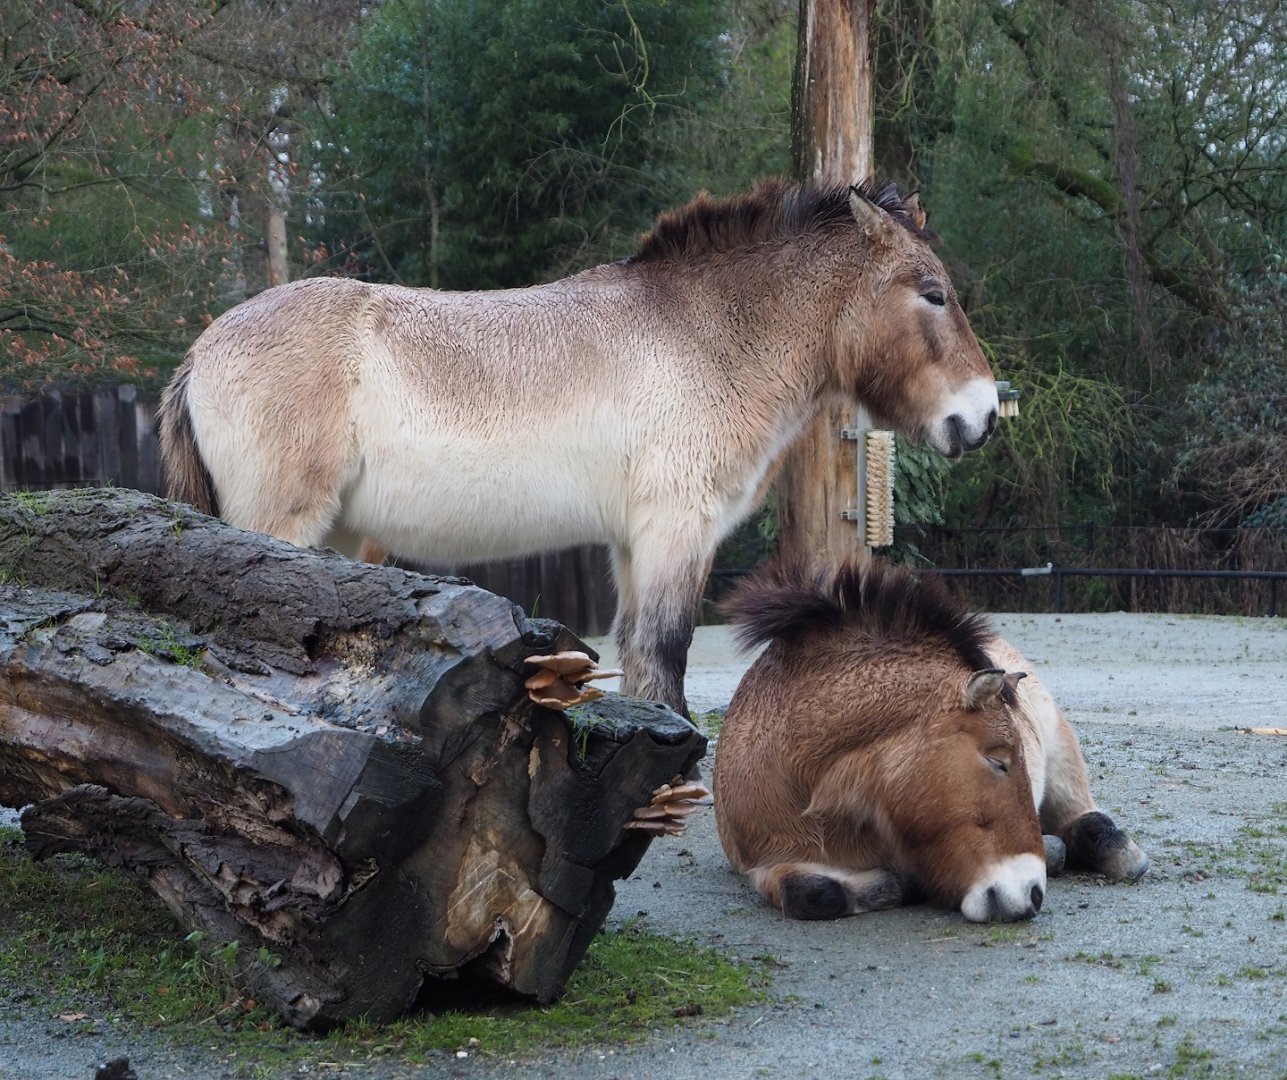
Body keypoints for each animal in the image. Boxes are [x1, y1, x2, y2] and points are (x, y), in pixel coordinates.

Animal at [158, 177, 1000, 716]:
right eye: (932, 294)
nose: (984, 415)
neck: (702, 334)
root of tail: (200, 353)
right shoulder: (674, 531)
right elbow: (664, 652)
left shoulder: (633, 543)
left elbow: (637, 654)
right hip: (284, 527)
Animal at [713, 559, 1148, 921]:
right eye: (999, 762)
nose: (1033, 893)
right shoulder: (767, 862)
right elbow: (814, 894)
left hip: (1062, 762)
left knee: (1084, 815)